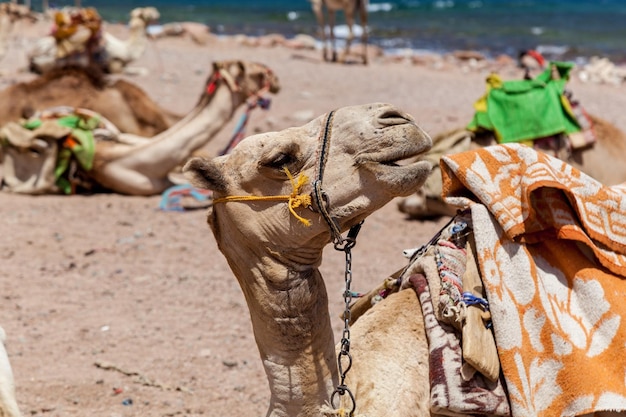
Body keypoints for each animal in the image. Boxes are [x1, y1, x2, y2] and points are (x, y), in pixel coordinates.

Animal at [28, 6, 158, 74]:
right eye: (147, 13)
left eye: (151, 12)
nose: (157, 14)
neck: (126, 50)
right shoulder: (114, 64)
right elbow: (126, 70)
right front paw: (143, 71)